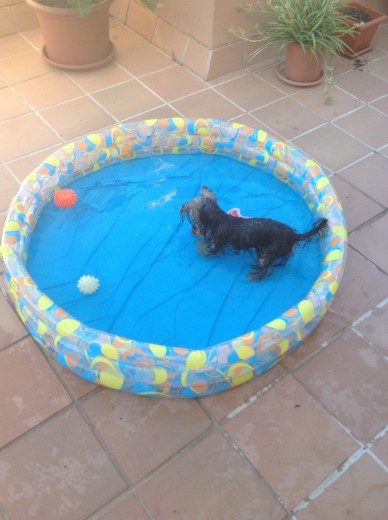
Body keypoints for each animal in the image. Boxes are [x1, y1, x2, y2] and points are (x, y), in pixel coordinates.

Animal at [180, 187, 328, 282]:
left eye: (190, 204)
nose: (182, 206)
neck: (218, 217)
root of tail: (293, 236)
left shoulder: (217, 243)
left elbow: (206, 250)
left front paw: (199, 247)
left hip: (271, 251)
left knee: (265, 266)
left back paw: (255, 276)